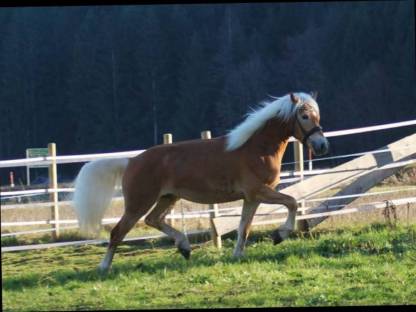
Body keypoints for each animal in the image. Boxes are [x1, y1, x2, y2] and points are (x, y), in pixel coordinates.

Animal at [73, 91, 330, 272]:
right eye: (304, 116)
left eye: (318, 116)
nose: (321, 145)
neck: (256, 148)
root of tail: (131, 160)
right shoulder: (259, 191)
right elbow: (292, 202)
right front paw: (279, 235)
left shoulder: (251, 198)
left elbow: (244, 227)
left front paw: (238, 255)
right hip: (138, 203)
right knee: (118, 232)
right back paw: (103, 267)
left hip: (168, 198)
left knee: (153, 220)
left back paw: (184, 247)